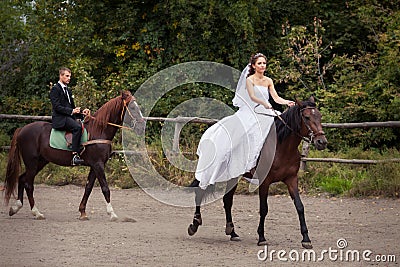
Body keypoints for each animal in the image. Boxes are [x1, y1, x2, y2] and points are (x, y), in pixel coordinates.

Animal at [3, 91, 145, 221]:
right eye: (132, 107)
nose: (141, 126)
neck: (99, 130)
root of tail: (22, 129)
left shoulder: (95, 166)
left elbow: (88, 188)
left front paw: (82, 212)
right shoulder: (98, 164)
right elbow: (105, 188)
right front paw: (112, 214)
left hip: (40, 162)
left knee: (22, 179)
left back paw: (15, 208)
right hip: (32, 162)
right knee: (28, 184)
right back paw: (36, 213)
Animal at [188, 97, 328, 250]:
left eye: (320, 116)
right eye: (307, 117)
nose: (322, 142)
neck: (281, 147)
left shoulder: (291, 179)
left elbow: (300, 207)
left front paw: (306, 239)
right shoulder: (264, 182)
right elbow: (263, 209)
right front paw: (261, 237)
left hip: (233, 176)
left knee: (227, 200)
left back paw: (232, 232)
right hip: (211, 171)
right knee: (200, 192)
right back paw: (194, 224)